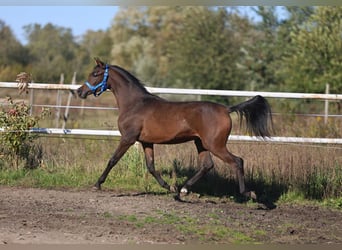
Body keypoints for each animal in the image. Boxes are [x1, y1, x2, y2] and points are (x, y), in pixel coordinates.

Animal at [77, 58, 272, 199]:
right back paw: (183, 190)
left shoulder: (128, 138)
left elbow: (113, 160)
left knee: (237, 161)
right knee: (207, 165)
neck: (135, 104)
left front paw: (97, 184)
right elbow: (151, 166)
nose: (80, 91)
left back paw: (248, 193)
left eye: (95, 73)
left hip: (216, 145)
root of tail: (226, 109)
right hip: (201, 143)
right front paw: (169, 187)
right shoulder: (146, 142)